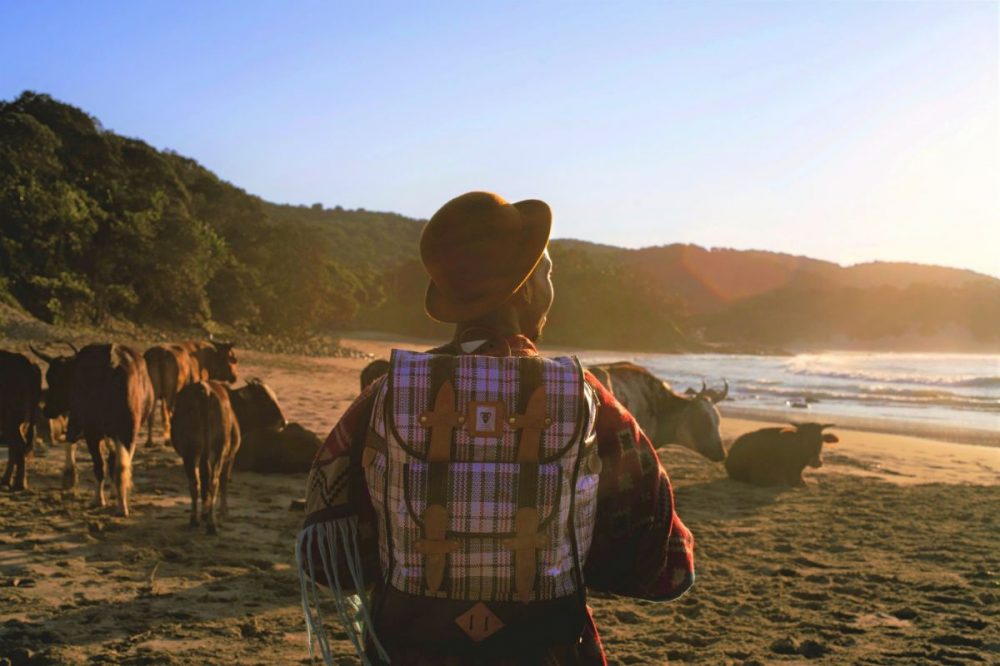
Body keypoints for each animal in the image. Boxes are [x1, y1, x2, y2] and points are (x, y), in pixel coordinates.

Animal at [0, 350, 42, 490]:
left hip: (11, 421)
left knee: (18, 445)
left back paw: (19, 484)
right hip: (18, 423)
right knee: (16, 447)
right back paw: (7, 480)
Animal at [38, 342, 154, 512]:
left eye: (54, 380)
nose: (47, 410)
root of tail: (113, 362)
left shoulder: (80, 422)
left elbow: (71, 442)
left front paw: (69, 478)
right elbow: (114, 459)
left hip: (94, 431)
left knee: (100, 465)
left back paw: (98, 500)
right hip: (129, 431)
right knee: (121, 465)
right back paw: (121, 505)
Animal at [171, 382, 241, 532]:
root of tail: (205, 390)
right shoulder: (230, 457)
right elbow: (223, 481)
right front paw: (223, 513)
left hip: (191, 451)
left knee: (197, 482)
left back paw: (199, 520)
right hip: (217, 449)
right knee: (213, 481)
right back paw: (209, 523)